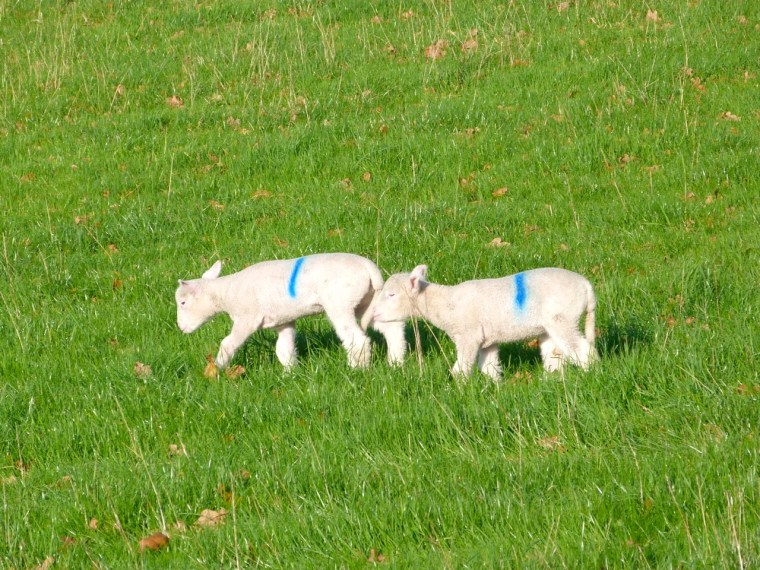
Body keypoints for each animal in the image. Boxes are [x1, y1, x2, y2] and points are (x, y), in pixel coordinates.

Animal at [175, 253, 407, 370]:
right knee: (392, 329)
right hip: (368, 300)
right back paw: (396, 362)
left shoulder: (247, 319)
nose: (181, 328)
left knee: (356, 339)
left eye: (183, 302)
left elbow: (227, 343)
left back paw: (356, 369)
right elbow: (283, 349)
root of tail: (370, 269)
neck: (227, 292)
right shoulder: (283, 321)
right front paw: (290, 373)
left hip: (340, 303)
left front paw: (218, 369)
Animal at [372, 265, 598, 380]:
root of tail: (587, 287)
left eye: (391, 294)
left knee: (582, 349)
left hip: (563, 319)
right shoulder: (486, 341)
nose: (374, 314)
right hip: (549, 326)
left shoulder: (468, 336)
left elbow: (460, 369)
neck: (445, 303)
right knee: (554, 356)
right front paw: (494, 388)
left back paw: (589, 374)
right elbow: (489, 367)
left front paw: (459, 390)